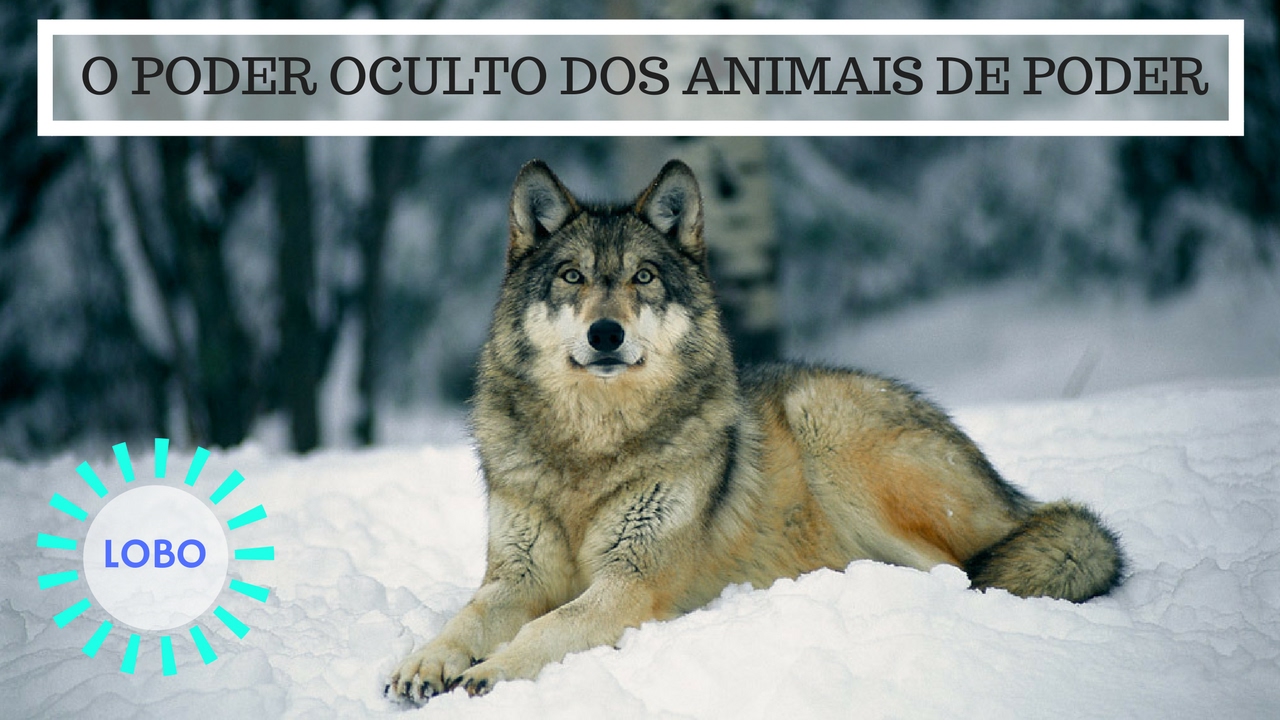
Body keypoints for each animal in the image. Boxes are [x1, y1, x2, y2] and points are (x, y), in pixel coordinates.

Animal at [386, 159, 1124, 702]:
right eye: (573, 276)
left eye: (643, 277)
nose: (606, 333)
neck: (591, 446)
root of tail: (1012, 495)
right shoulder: (516, 576)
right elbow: (466, 618)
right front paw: (425, 662)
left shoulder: (630, 582)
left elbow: (548, 628)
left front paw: (489, 672)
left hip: (828, 428)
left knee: (959, 572)